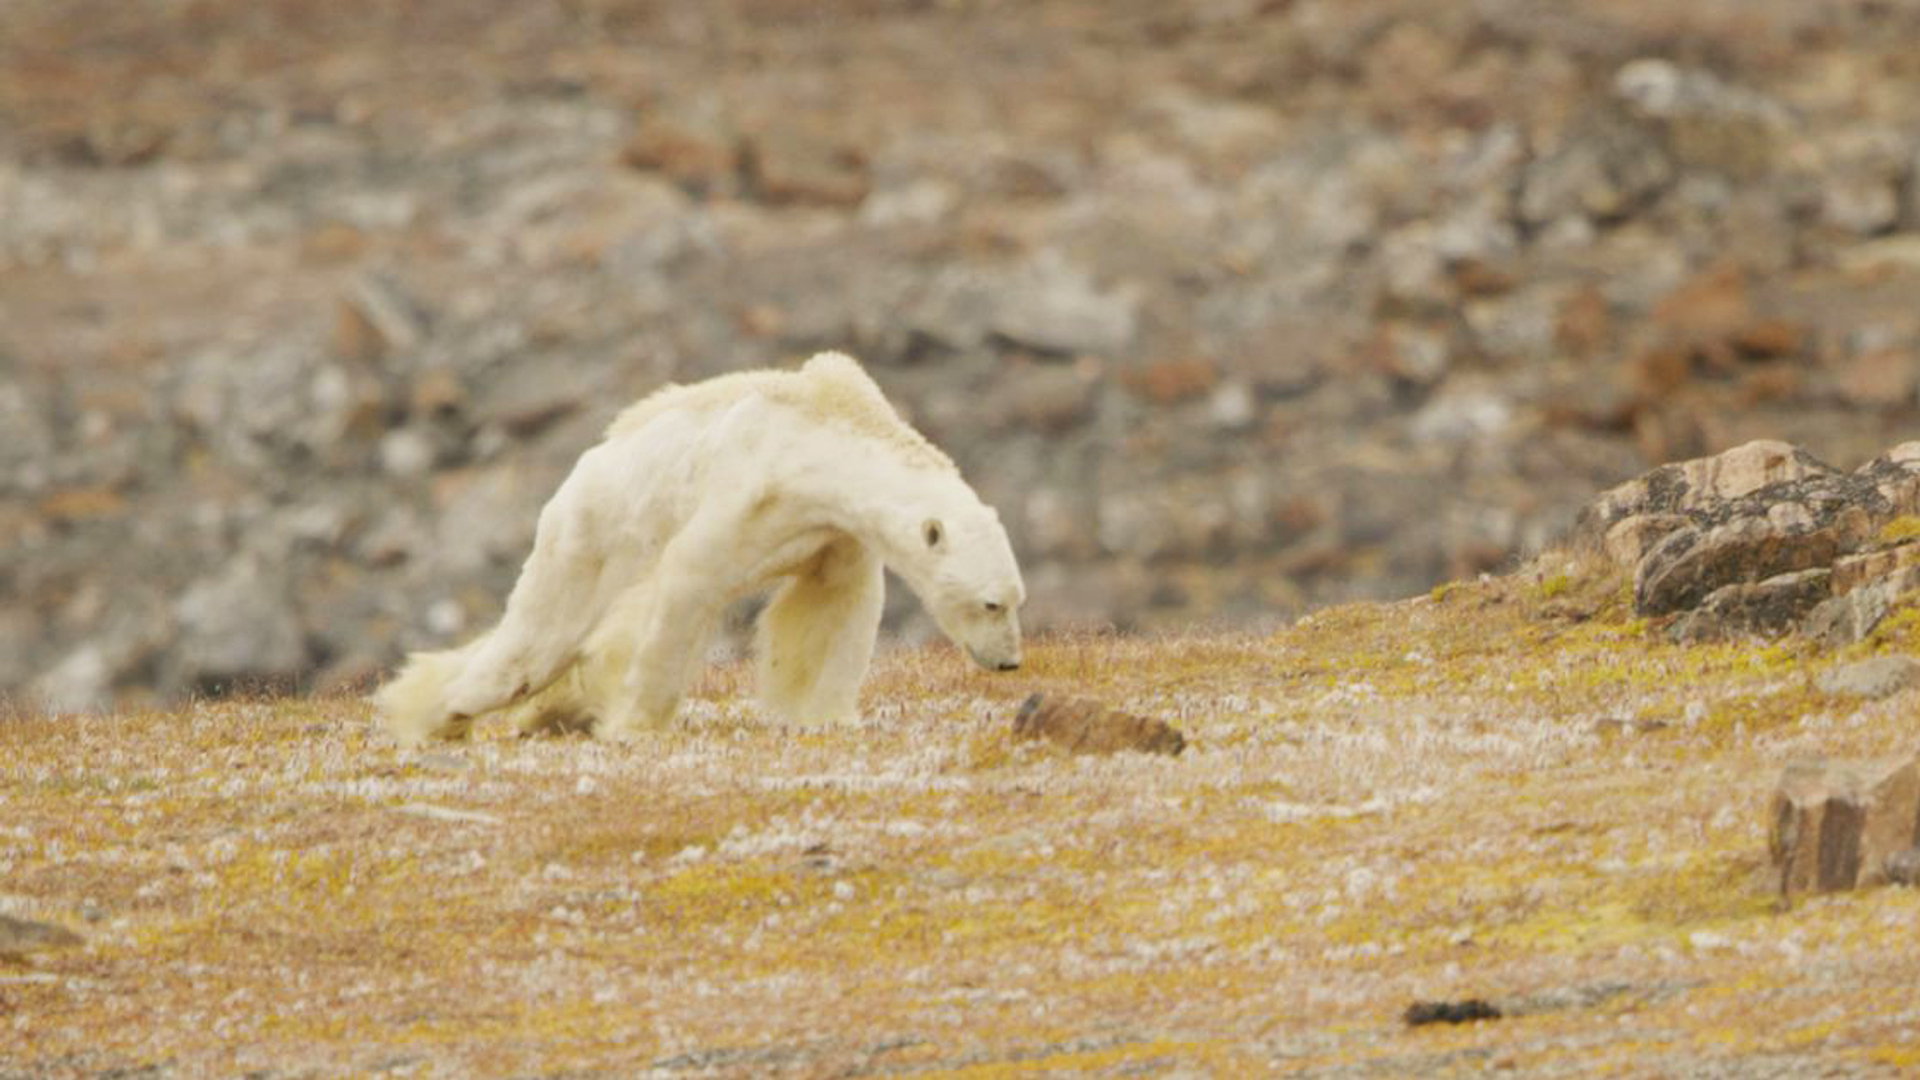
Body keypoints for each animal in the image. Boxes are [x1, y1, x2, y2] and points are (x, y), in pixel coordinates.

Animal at [378, 351, 1036, 737]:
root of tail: (575, 476)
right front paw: (635, 719)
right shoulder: (747, 491)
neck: (824, 435)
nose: (1009, 661)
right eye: (991, 603)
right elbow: (686, 583)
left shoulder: (832, 531)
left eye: (1015, 600)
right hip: (589, 539)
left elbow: (833, 610)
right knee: (534, 644)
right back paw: (440, 713)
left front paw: (827, 714)